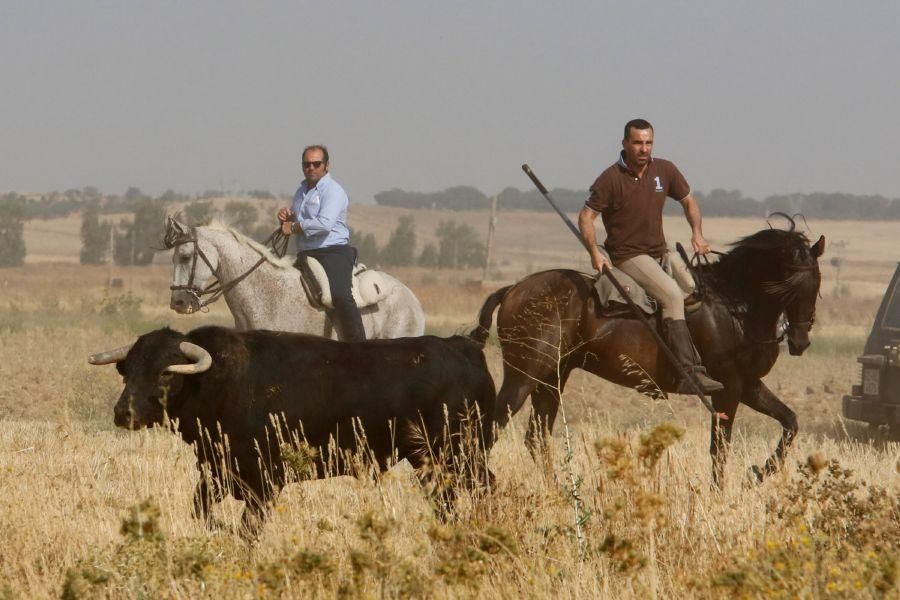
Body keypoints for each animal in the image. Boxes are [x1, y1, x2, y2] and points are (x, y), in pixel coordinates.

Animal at [90, 326, 496, 536]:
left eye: (165, 372)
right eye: (128, 371)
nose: (123, 413)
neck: (223, 380)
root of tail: (464, 348)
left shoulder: (266, 479)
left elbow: (249, 526)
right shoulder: (216, 471)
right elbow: (202, 512)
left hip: (459, 454)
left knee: (481, 489)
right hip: (429, 460)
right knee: (446, 499)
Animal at [474, 218, 828, 486]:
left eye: (815, 283)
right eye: (789, 284)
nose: (799, 341)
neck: (734, 306)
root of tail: (514, 289)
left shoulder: (750, 386)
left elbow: (790, 422)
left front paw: (758, 473)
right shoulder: (728, 389)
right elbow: (720, 449)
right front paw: (721, 493)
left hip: (552, 379)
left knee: (536, 437)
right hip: (524, 377)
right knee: (492, 428)